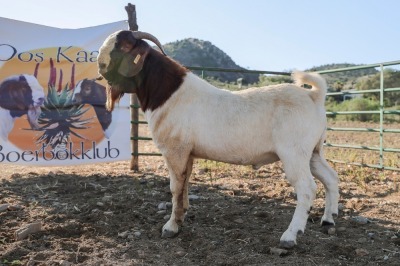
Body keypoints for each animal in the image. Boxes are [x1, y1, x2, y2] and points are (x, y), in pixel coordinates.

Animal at [96, 30, 338, 248]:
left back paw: (290, 236)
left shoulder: (174, 150)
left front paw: (170, 227)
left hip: (293, 151)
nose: (99, 65)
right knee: (330, 177)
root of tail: (314, 96)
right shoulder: (188, 152)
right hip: (313, 151)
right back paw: (328, 219)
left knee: (307, 188)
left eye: (126, 45)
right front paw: (181, 217)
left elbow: (175, 187)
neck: (168, 93)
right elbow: (185, 184)